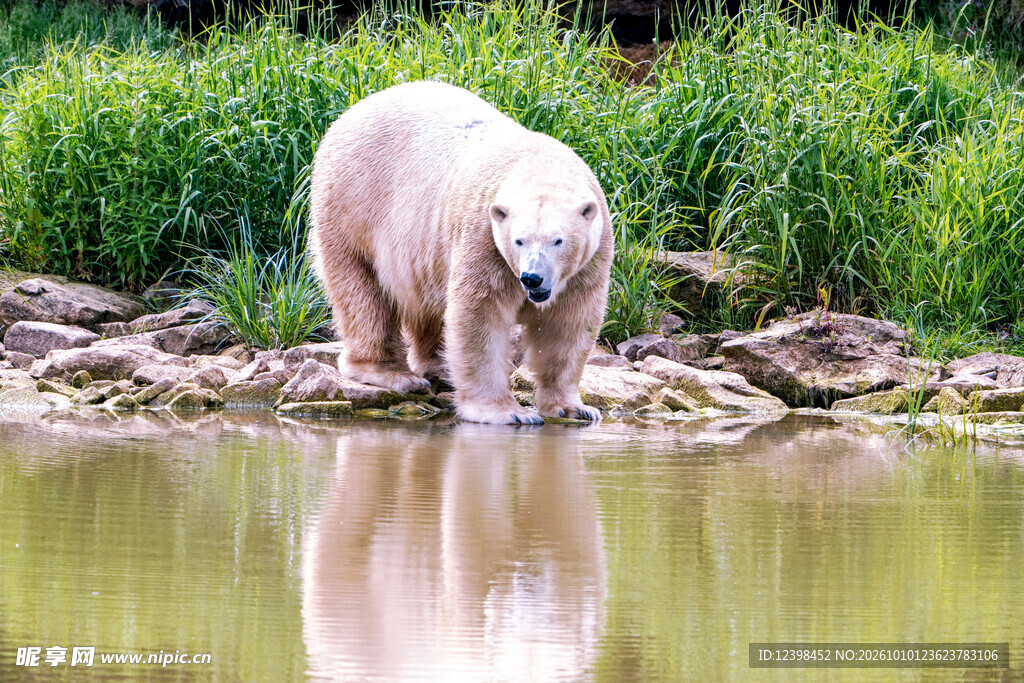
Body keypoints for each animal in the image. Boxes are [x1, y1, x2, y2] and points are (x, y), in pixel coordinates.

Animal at [308, 81, 613, 425]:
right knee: (364, 293)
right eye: (519, 241)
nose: (532, 278)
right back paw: (394, 374)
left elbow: (567, 324)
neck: (539, 164)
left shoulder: (589, 261)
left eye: (557, 241)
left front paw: (573, 407)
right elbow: (480, 315)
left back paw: (438, 367)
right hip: (353, 207)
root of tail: (352, 110)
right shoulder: (484, 238)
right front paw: (508, 412)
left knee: (426, 305)